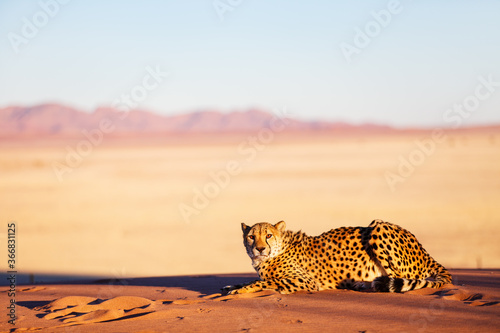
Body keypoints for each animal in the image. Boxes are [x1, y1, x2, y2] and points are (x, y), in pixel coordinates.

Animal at [221, 220, 452, 294]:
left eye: (268, 235)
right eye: (251, 236)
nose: (260, 249)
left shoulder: (306, 282)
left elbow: (264, 282)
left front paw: (239, 291)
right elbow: (254, 280)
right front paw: (232, 286)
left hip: (379, 226)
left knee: (405, 279)